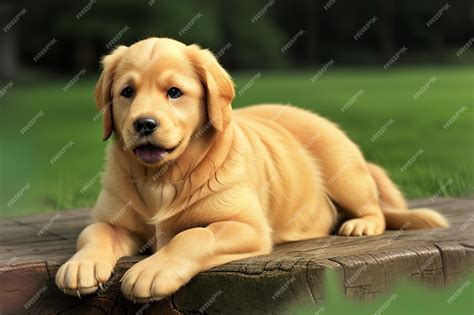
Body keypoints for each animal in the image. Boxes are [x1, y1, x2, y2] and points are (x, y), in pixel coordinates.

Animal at [55, 37, 448, 304]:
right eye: (126, 92)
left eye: (174, 92)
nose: (144, 124)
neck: (164, 177)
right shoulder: (114, 219)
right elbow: (96, 233)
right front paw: (82, 264)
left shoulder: (245, 226)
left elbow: (192, 237)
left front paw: (152, 270)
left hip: (344, 171)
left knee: (374, 208)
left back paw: (360, 224)